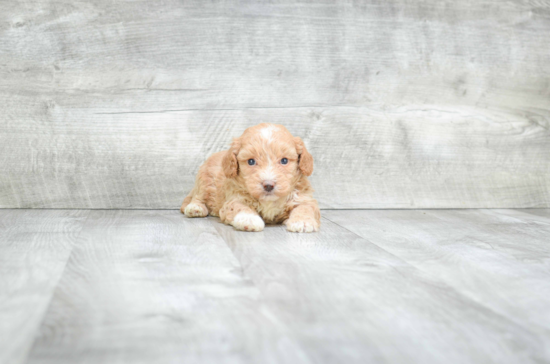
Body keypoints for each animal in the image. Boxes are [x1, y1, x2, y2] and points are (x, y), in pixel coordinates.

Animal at [181, 123, 322, 232]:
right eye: (251, 162)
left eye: (284, 160)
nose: (268, 185)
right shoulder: (234, 198)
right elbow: (240, 207)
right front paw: (248, 219)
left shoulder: (304, 197)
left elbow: (305, 207)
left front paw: (302, 222)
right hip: (204, 179)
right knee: (198, 196)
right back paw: (196, 208)